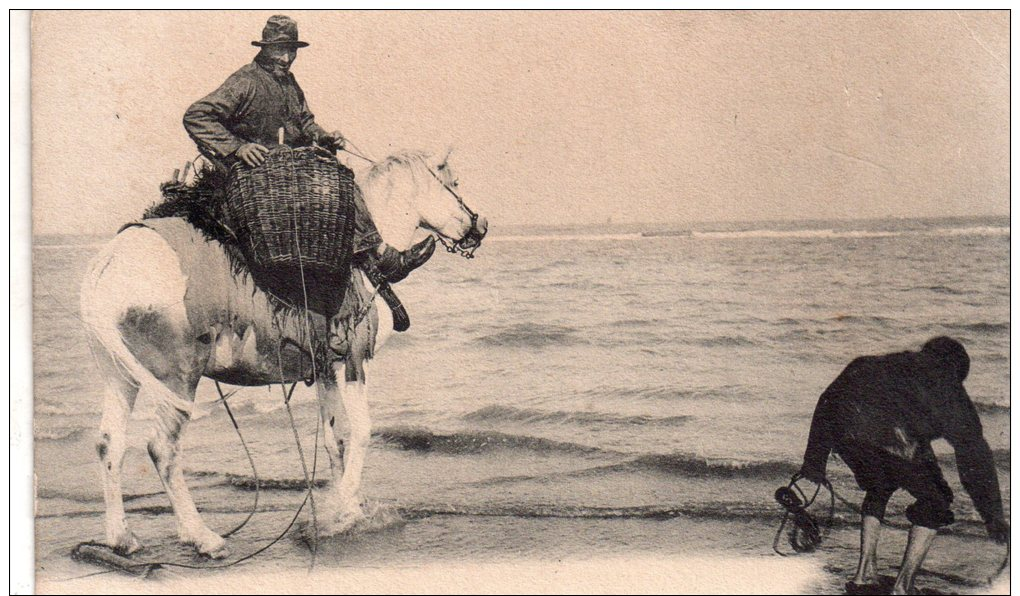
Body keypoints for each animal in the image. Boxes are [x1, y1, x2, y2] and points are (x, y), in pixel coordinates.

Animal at [79, 152, 485, 559]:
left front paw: (348, 507)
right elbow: (362, 432)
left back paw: (121, 537)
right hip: (179, 379)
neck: (363, 259)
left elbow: (336, 438)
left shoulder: (326, 368)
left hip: (121, 377)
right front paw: (345, 508)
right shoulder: (353, 361)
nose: (479, 226)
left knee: (109, 444)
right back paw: (201, 536)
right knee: (162, 448)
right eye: (454, 183)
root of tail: (108, 263)